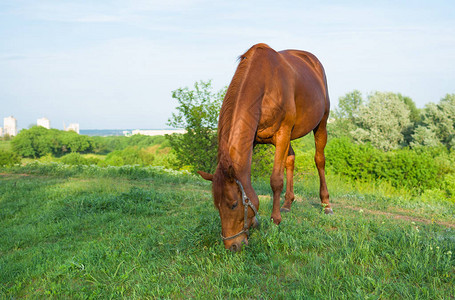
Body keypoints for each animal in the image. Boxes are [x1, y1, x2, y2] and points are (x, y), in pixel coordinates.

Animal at [198, 44, 334, 251]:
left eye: (234, 204)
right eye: (216, 206)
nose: (232, 246)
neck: (264, 83)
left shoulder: (283, 133)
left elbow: (276, 180)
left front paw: (275, 219)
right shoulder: (254, 139)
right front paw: (257, 220)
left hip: (321, 124)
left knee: (319, 160)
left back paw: (326, 205)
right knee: (290, 159)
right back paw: (287, 203)